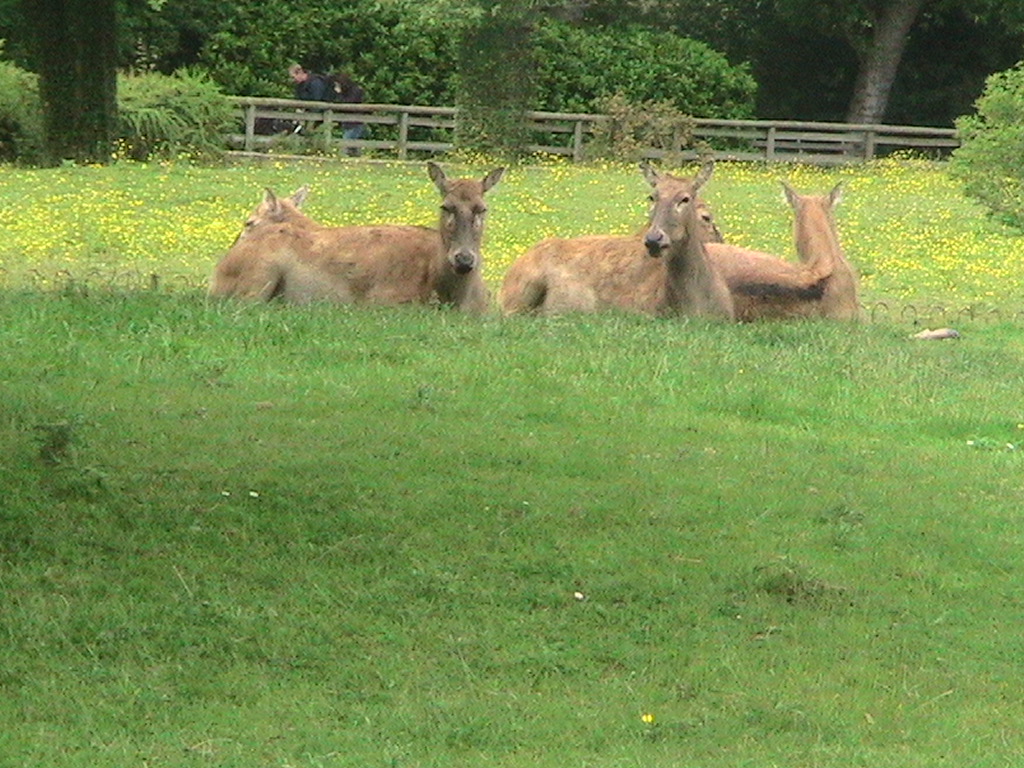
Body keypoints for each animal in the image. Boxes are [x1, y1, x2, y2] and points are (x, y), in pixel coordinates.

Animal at [209, 162, 504, 313]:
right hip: (258, 276)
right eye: (446, 206)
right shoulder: (384, 301)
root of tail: (219, 270)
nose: (464, 259)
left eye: (482, 208)